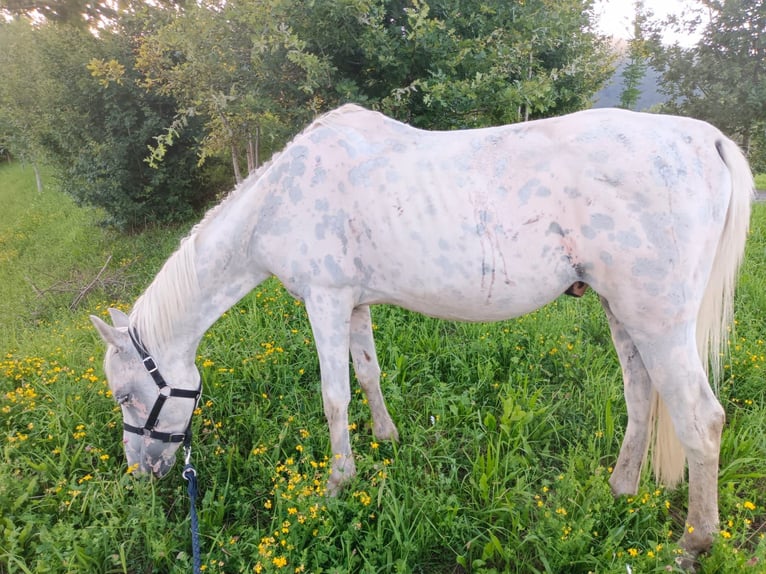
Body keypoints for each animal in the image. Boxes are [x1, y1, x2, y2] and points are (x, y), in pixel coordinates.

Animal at [91, 104, 756, 564]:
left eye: (125, 395)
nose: (141, 474)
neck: (278, 200)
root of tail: (705, 138)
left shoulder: (325, 302)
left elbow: (334, 397)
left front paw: (337, 485)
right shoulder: (354, 304)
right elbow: (368, 373)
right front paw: (386, 439)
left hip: (659, 321)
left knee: (701, 420)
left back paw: (694, 542)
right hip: (623, 312)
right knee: (642, 396)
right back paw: (620, 489)